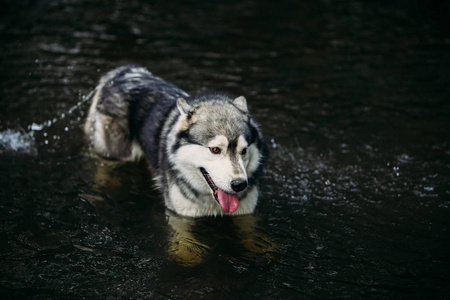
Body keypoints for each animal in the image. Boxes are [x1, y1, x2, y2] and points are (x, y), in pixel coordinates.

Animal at [84, 64, 268, 217]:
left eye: (243, 151)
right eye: (215, 149)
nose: (240, 185)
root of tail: (123, 71)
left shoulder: (245, 215)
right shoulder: (180, 218)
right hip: (114, 155)